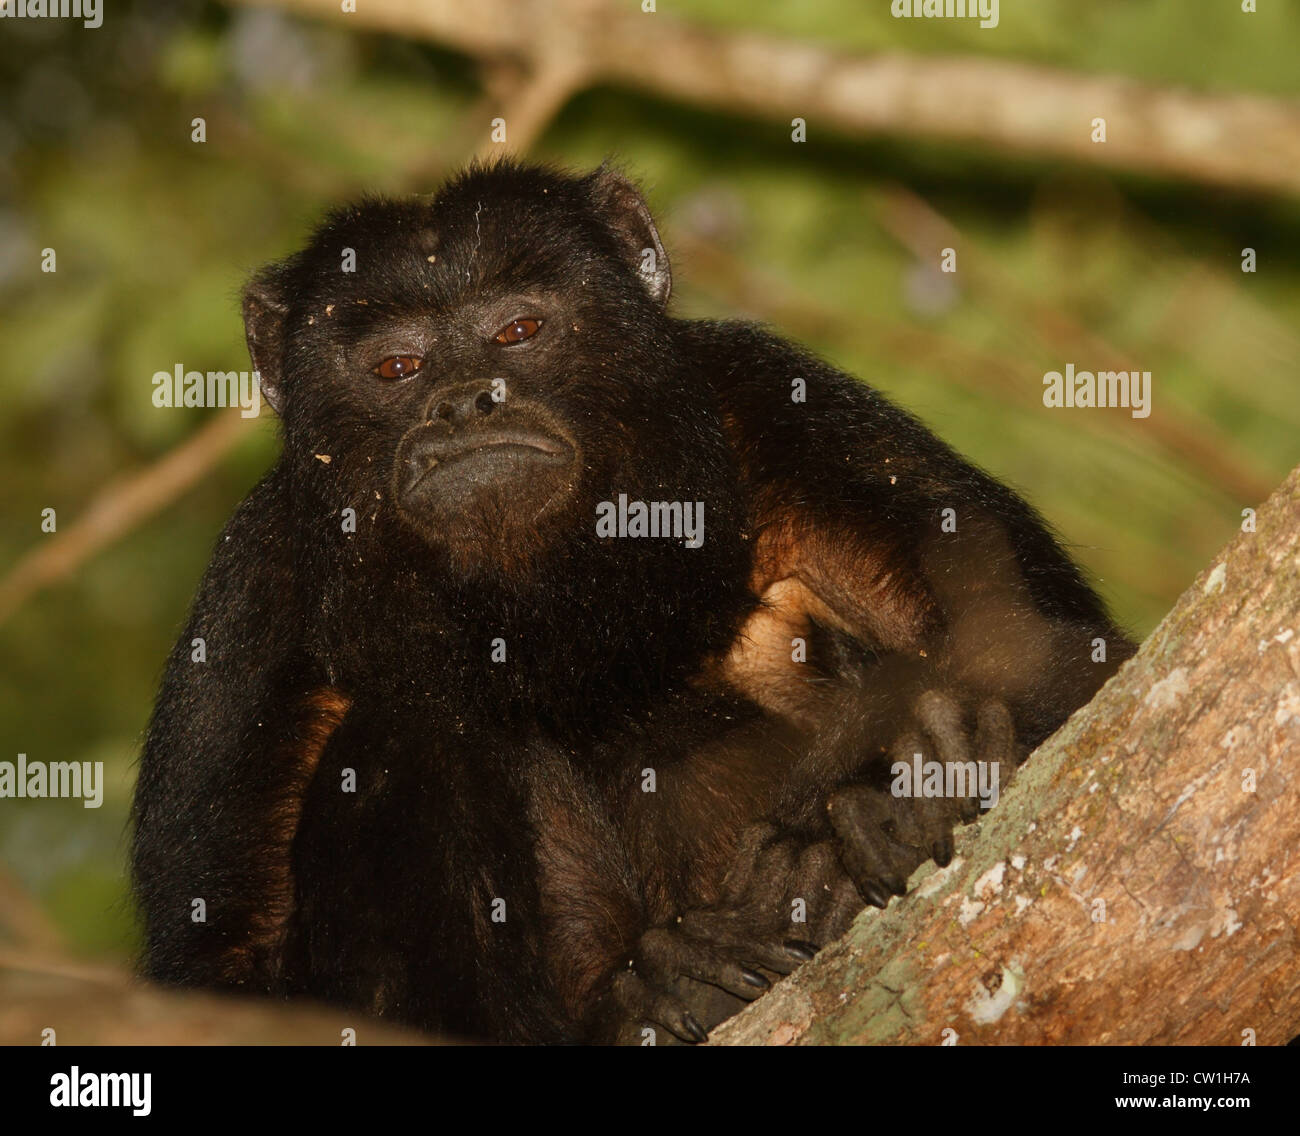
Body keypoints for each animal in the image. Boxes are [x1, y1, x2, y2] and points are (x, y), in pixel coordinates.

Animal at [126, 159, 1133, 1045]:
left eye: (520, 331)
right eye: (397, 368)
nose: (466, 403)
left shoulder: (780, 402)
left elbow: (1073, 672)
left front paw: (921, 772)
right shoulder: (259, 584)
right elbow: (219, 970)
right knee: (403, 735)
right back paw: (656, 991)